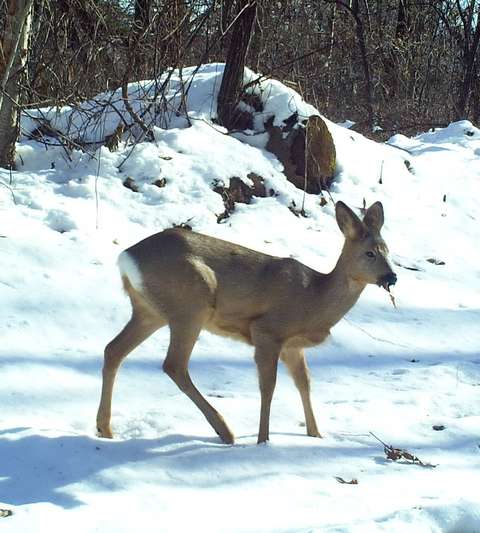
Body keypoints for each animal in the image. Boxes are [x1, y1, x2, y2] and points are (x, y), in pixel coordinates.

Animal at [95, 200, 396, 440]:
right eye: (369, 253)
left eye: (388, 250)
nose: (391, 277)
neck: (314, 299)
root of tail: (126, 257)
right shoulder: (267, 331)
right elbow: (268, 386)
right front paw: (264, 440)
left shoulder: (292, 346)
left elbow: (304, 383)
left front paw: (316, 435)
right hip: (191, 304)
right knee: (174, 365)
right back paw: (225, 431)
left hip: (149, 311)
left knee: (113, 350)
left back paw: (105, 429)